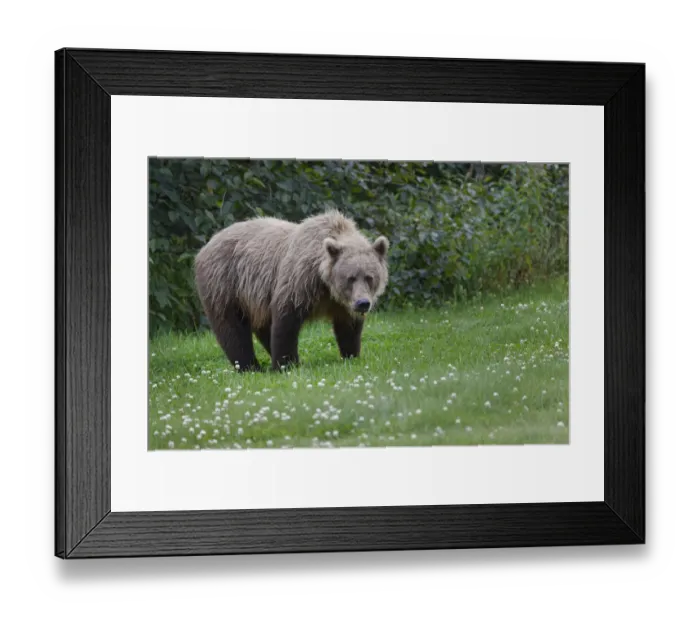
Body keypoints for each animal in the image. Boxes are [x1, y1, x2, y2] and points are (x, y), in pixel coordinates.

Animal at [194, 209, 390, 371]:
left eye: (369, 277)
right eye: (350, 278)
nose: (363, 303)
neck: (326, 285)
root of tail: (205, 246)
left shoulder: (341, 304)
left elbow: (348, 328)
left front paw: (351, 355)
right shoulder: (301, 281)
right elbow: (286, 321)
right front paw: (285, 364)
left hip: (256, 295)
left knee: (262, 326)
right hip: (225, 283)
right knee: (231, 329)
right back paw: (249, 366)